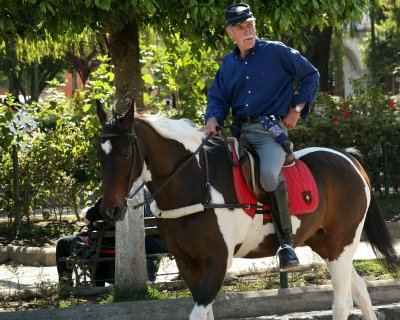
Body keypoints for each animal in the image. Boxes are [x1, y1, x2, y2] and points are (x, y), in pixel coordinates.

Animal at [96, 102, 396, 320]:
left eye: (125, 153)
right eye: (99, 155)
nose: (111, 209)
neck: (197, 183)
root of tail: (348, 158)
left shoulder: (217, 262)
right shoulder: (187, 263)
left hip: (341, 244)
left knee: (342, 303)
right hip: (327, 246)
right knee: (361, 291)